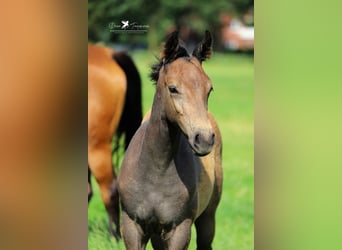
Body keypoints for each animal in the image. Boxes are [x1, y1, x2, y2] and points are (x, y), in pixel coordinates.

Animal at [117, 31, 223, 250]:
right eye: (173, 88)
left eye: (209, 89)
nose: (204, 139)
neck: (156, 170)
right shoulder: (131, 225)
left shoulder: (180, 229)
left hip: (208, 217)